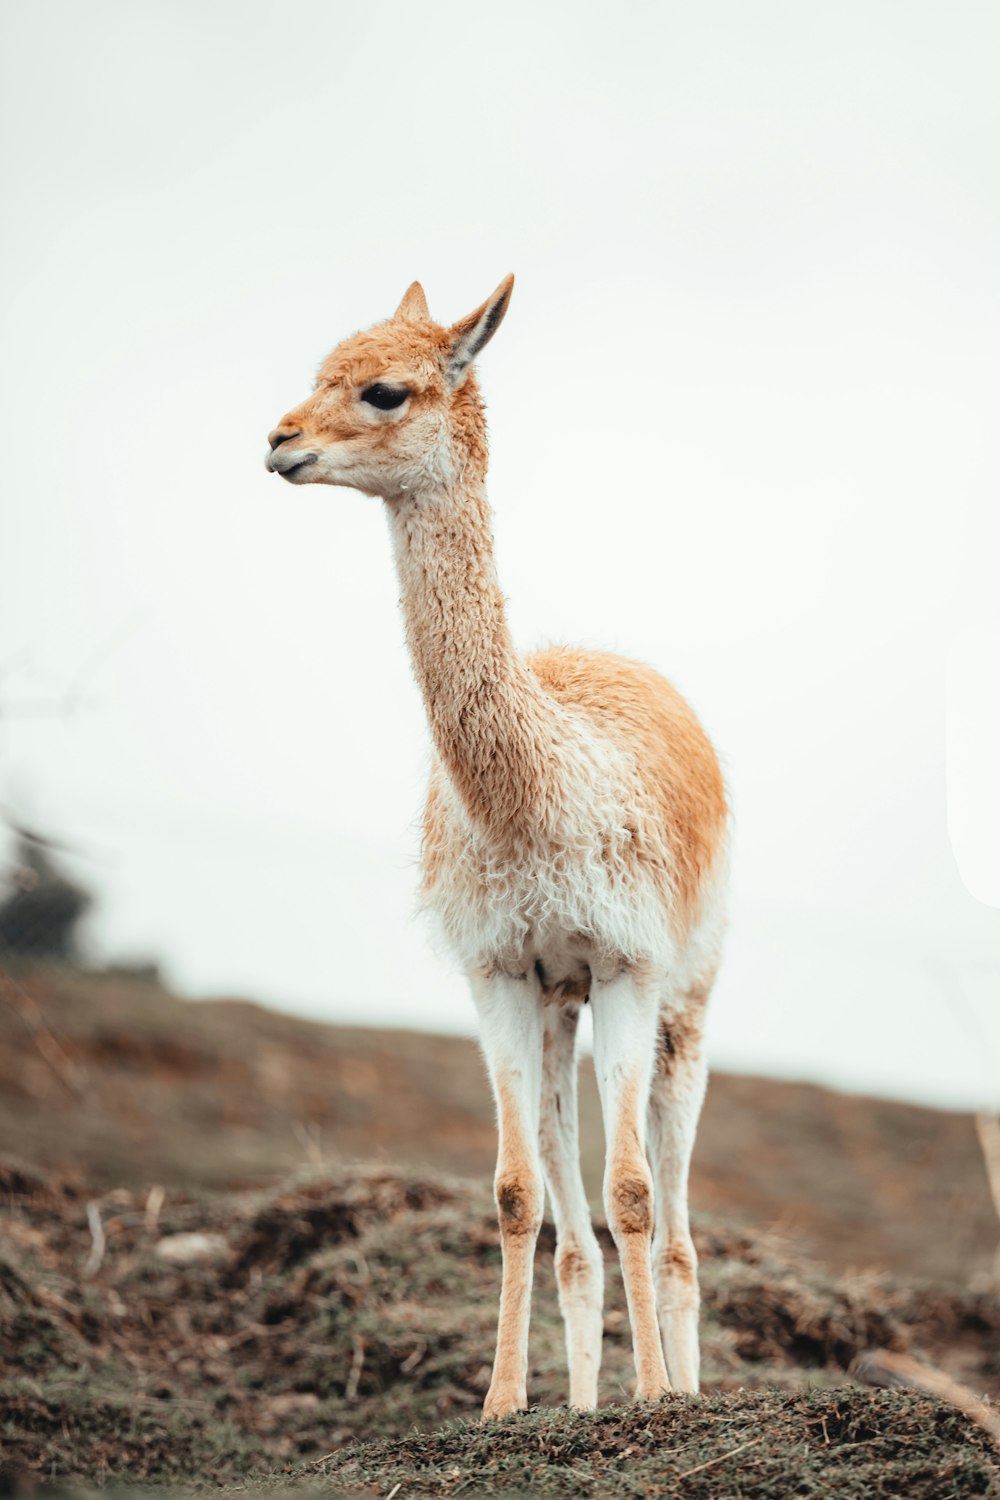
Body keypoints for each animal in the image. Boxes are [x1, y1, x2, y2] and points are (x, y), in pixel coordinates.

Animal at [268, 279, 728, 1416]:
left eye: (384, 390)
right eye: (319, 369)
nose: (279, 440)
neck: (537, 796)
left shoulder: (626, 964)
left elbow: (631, 1191)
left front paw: (653, 1400)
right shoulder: (500, 971)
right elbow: (522, 1194)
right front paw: (504, 1405)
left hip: (686, 1001)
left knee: (675, 1220)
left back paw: (685, 1389)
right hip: (562, 1006)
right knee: (575, 1232)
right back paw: (582, 1399)